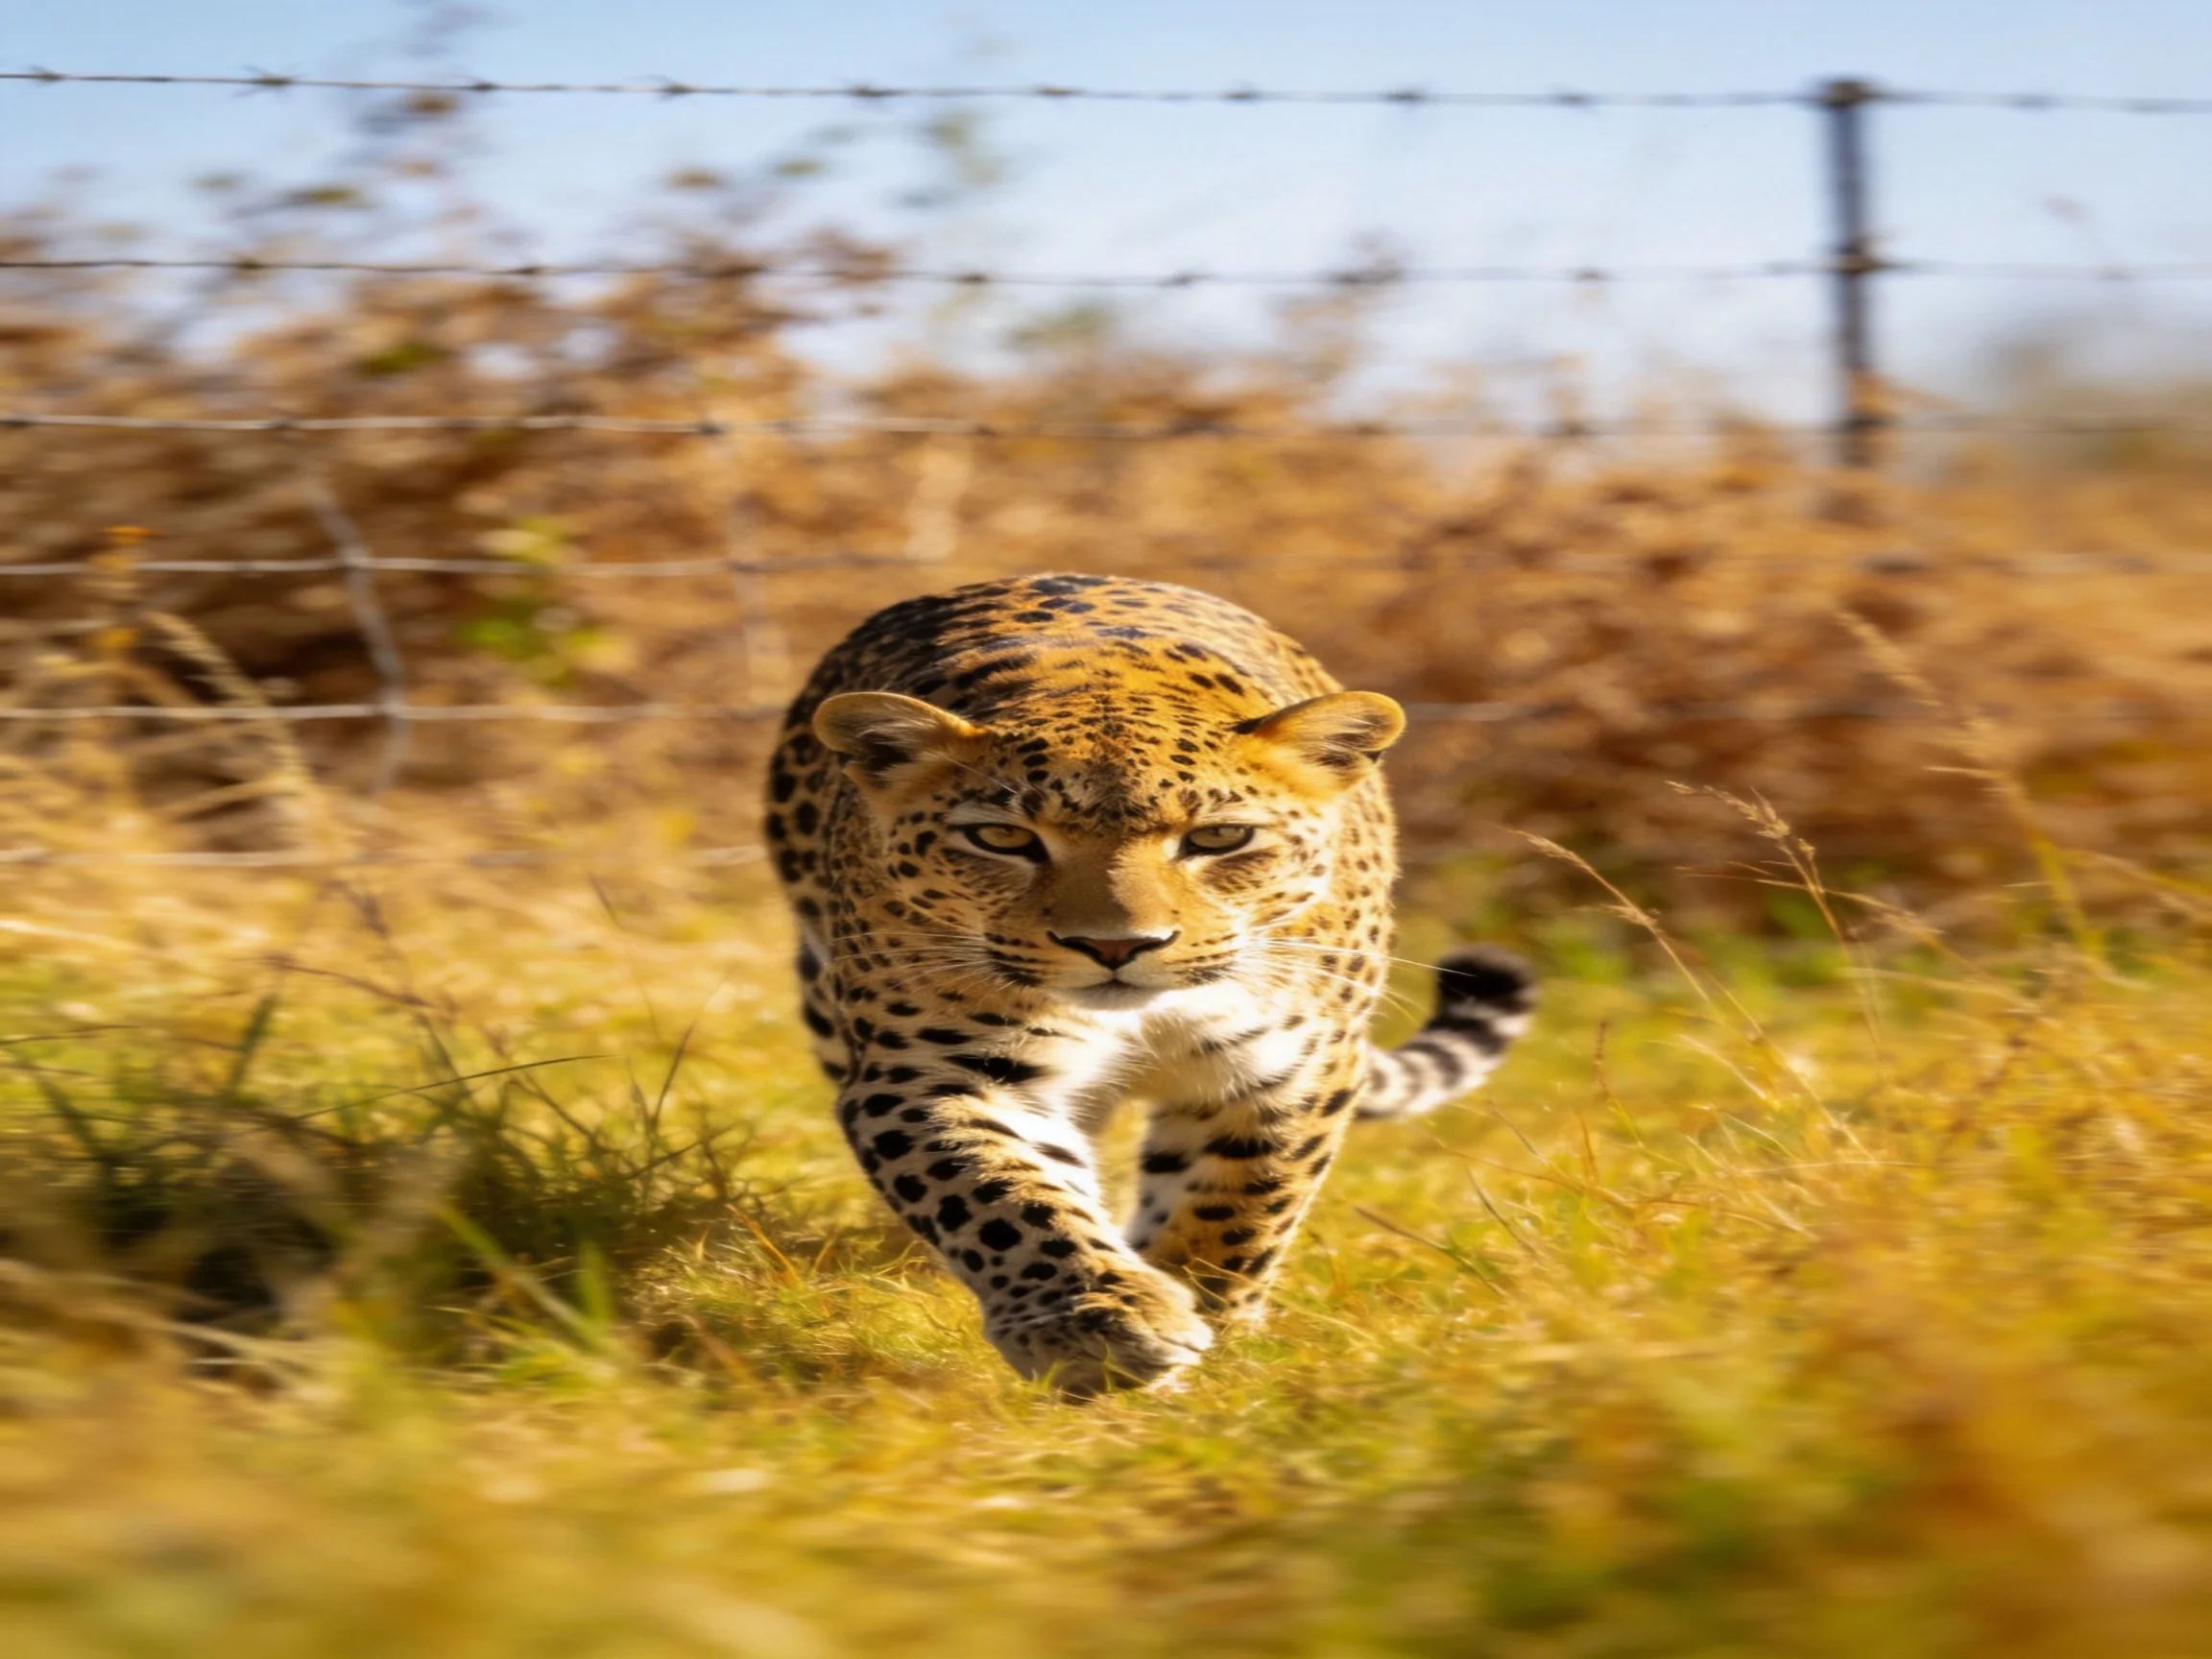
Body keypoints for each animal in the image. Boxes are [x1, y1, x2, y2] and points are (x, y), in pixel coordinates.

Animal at [765, 573, 1535, 1394]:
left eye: (1221, 838)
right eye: (1002, 837)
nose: (1115, 945)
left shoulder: (1292, 1065)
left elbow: (1241, 1205)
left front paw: (1212, 1334)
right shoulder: (936, 1068)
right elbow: (999, 1194)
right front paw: (1094, 1325)